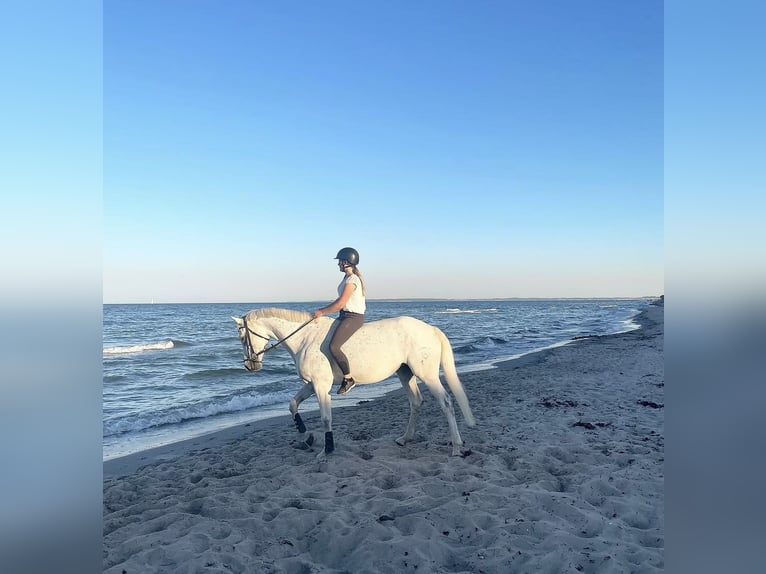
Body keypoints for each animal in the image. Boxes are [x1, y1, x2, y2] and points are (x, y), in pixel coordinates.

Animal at [232, 308, 476, 457]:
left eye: (243, 337)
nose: (250, 366)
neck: (305, 338)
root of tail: (431, 329)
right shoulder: (312, 384)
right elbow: (293, 404)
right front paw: (305, 435)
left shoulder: (321, 386)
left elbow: (326, 418)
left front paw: (327, 449)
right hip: (405, 373)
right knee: (416, 403)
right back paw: (405, 439)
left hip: (427, 374)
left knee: (446, 402)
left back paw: (456, 447)